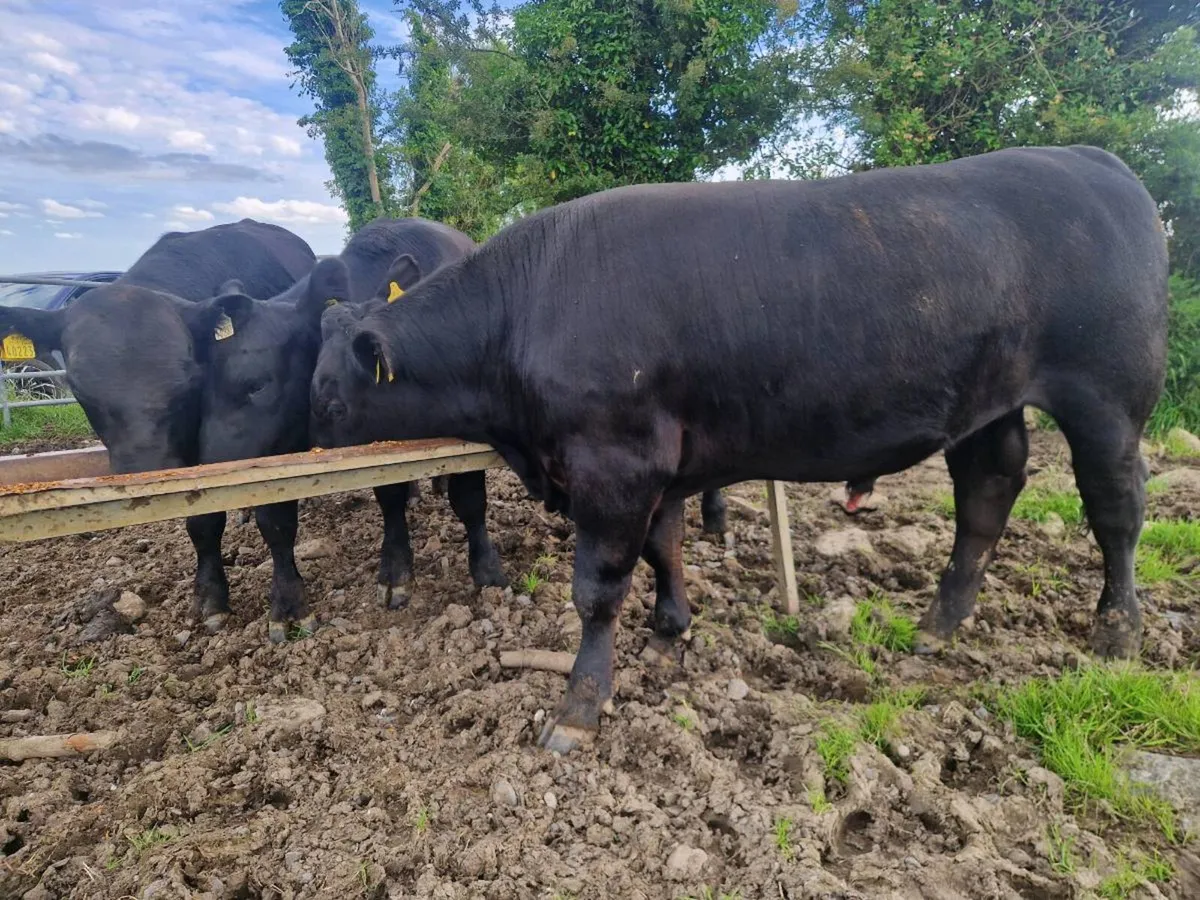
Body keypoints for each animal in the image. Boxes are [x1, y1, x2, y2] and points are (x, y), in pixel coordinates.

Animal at [0, 219, 316, 633]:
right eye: (80, 387)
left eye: (188, 379)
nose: (144, 475)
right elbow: (202, 522)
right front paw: (211, 597)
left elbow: (275, 518)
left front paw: (288, 602)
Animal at [180, 218, 509, 641]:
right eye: (200, 386)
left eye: (257, 384)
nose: (206, 489)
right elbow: (291, 523)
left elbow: (470, 501)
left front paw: (487, 571)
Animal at [310, 144, 1168, 754]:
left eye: (329, 394)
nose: (311, 440)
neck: (525, 307)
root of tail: (1088, 158)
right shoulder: (659, 466)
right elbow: (665, 547)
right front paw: (672, 627)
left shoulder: (614, 464)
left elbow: (597, 590)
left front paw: (580, 708)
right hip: (991, 404)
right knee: (986, 497)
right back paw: (938, 625)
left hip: (1108, 397)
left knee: (1116, 508)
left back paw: (1118, 629)